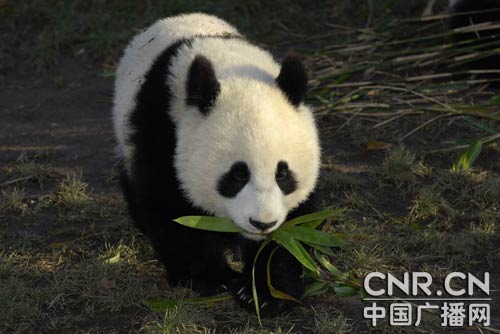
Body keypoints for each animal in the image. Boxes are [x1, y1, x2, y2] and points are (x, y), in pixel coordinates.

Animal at [112, 13, 322, 316]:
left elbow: (294, 227)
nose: (262, 223)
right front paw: (212, 279)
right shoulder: (163, 130)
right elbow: (171, 207)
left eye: (283, 173)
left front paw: (266, 292)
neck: (228, 69)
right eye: (237, 175)